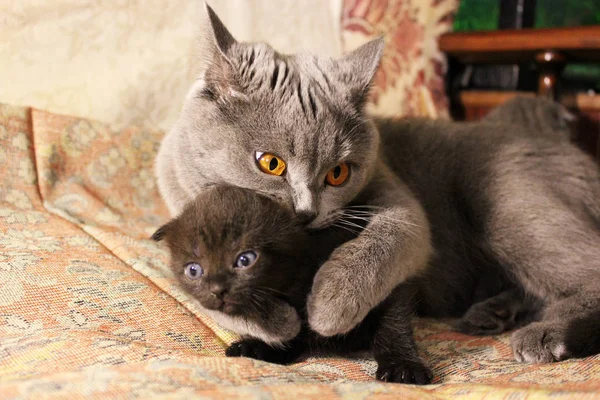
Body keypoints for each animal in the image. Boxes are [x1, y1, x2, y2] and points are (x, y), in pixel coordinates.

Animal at [157, 6, 600, 362]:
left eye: (338, 173)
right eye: (270, 163)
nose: (307, 211)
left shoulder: (401, 203)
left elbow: (383, 243)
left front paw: (327, 307)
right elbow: (198, 288)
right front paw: (278, 323)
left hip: (510, 205)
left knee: (585, 268)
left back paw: (544, 335)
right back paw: (487, 315)